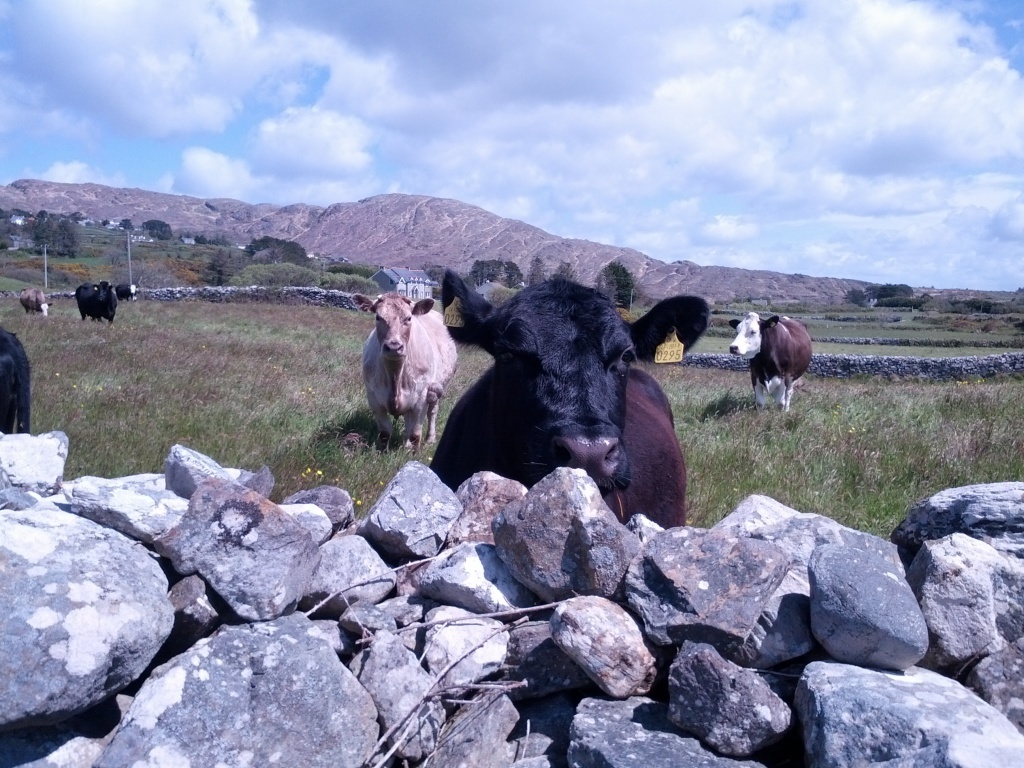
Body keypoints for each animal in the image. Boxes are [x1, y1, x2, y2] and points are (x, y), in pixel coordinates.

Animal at [353, 291, 458, 452]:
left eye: (408, 318)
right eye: (378, 317)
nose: (394, 347)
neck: (395, 375)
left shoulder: (421, 398)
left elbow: (415, 434)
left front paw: (414, 453)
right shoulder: (373, 398)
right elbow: (385, 433)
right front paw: (382, 452)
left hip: (438, 388)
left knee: (432, 412)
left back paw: (429, 439)